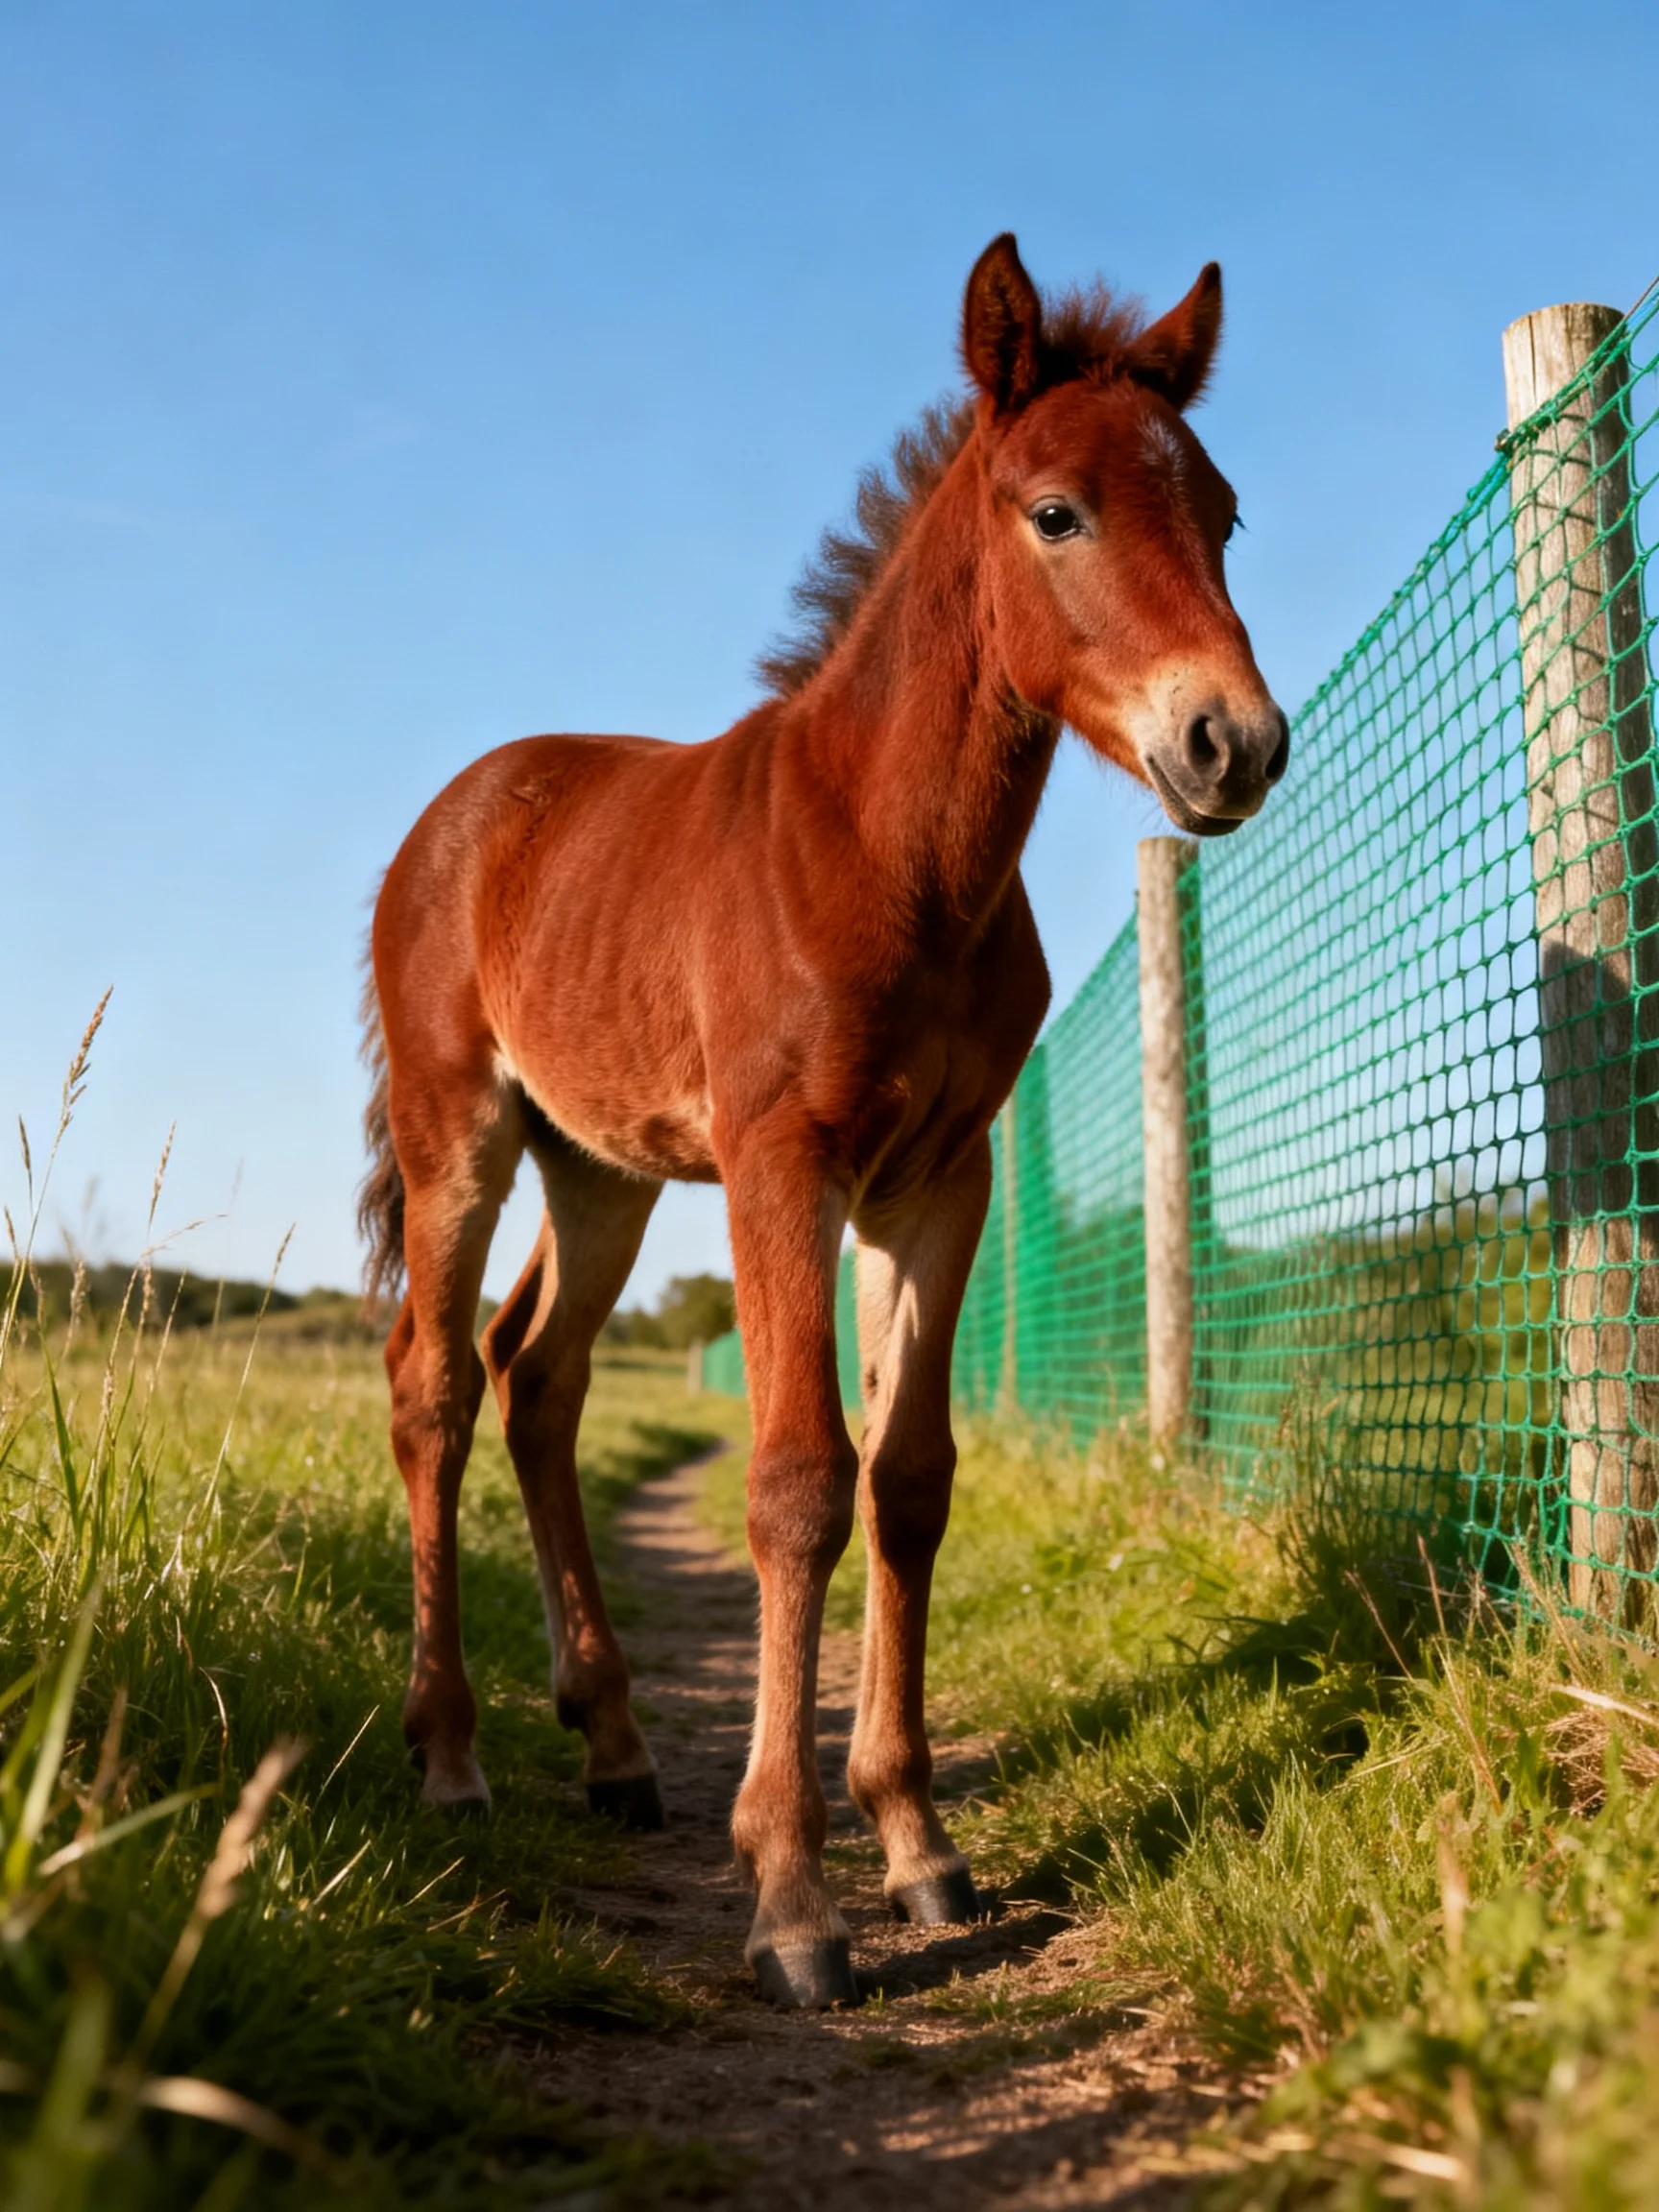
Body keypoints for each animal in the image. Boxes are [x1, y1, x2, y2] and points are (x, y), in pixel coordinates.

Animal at [358, 233, 1285, 2008]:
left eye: (1219, 514)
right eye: (1055, 512)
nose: (1235, 744)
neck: (886, 850)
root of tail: (455, 813)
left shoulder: (935, 1175)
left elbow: (906, 1478)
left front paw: (916, 1845)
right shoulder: (783, 1162)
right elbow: (795, 1478)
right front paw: (791, 1896)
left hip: (603, 1171)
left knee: (538, 1374)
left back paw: (615, 1747)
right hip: (464, 1136)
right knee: (432, 1383)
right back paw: (451, 1758)